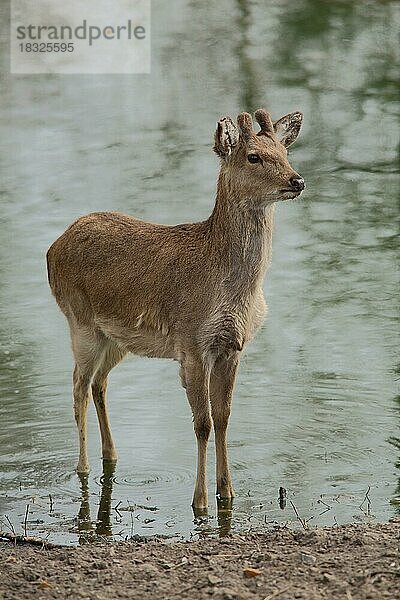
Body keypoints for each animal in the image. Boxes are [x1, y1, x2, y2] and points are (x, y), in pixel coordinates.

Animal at [46, 108, 304, 506]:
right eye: (254, 156)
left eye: (285, 150)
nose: (297, 180)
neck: (231, 290)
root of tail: (52, 248)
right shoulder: (192, 343)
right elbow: (203, 423)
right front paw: (199, 501)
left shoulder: (233, 347)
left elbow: (224, 417)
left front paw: (227, 492)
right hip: (80, 322)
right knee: (77, 386)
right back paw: (84, 467)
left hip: (116, 339)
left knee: (99, 383)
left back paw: (112, 456)